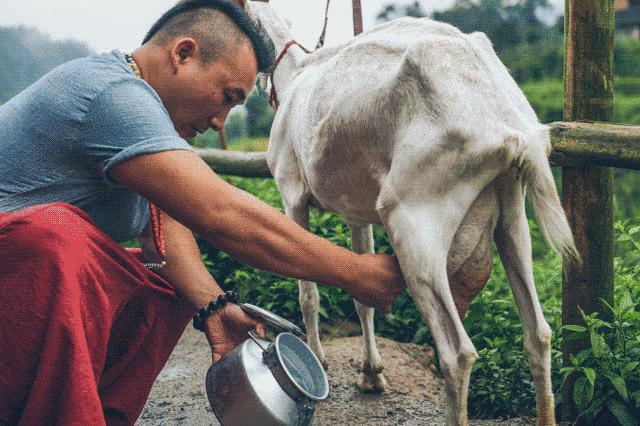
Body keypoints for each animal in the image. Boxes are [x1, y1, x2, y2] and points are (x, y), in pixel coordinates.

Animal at [239, 1, 576, 424]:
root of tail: (513, 129)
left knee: (457, 353)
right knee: (538, 333)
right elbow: (361, 296)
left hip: (413, 217)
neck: (294, 75)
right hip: (512, 211)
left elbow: (308, 293)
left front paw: (317, 360)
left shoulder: (291, 193)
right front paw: (372, 375)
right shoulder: (355, 211)